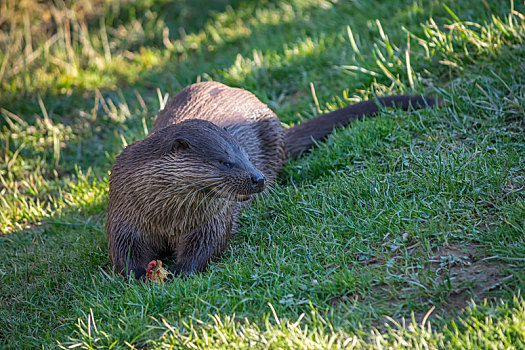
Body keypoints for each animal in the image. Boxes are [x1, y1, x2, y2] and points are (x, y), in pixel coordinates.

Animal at [104, 81, 436, 278]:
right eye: (226, 161)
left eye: (245, 156)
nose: (258, 179)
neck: (166, 217)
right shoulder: (123, 215)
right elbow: (123, 251)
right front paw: (137, 275)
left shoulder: (212, 219)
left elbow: (207, 246)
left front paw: (182, 273)